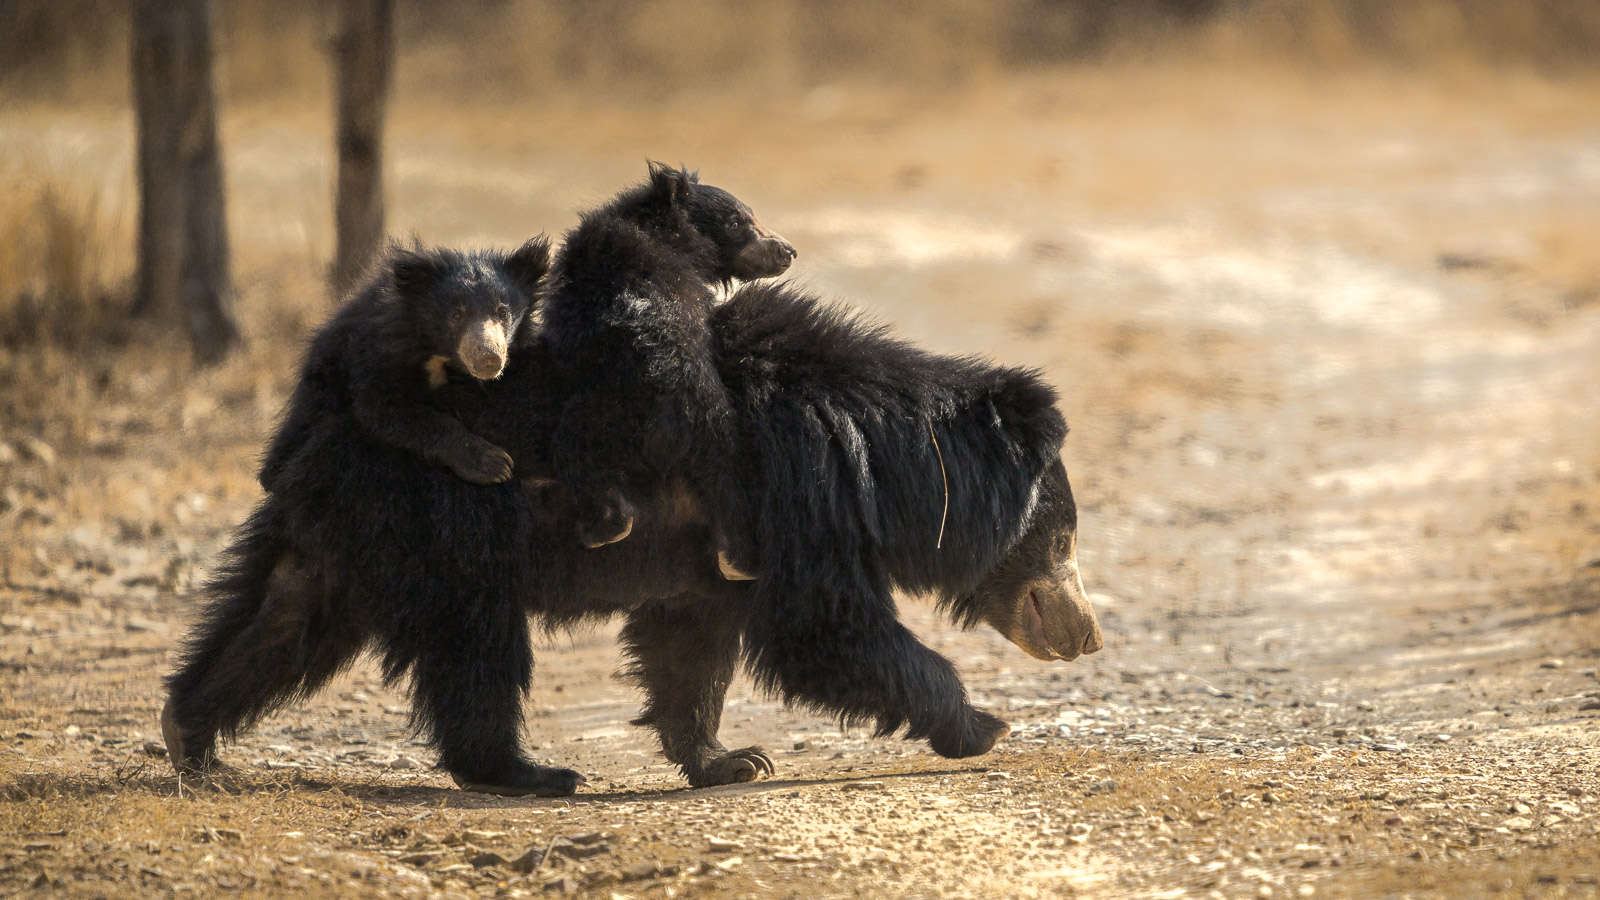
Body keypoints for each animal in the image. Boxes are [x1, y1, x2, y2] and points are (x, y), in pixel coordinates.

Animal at [165, 280, 1100, 791]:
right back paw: (524, 773)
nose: (1090, 636)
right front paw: (983, 724)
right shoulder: (797, 495)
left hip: (347, 522)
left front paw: (730, 760)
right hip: (451, 506)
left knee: (282, 617)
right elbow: (824, 629)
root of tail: (325, 400)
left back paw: (193, 741)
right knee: (476, 643)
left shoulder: (720, 546)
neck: (877, 458)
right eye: (1062, 537)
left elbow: (691, 642)